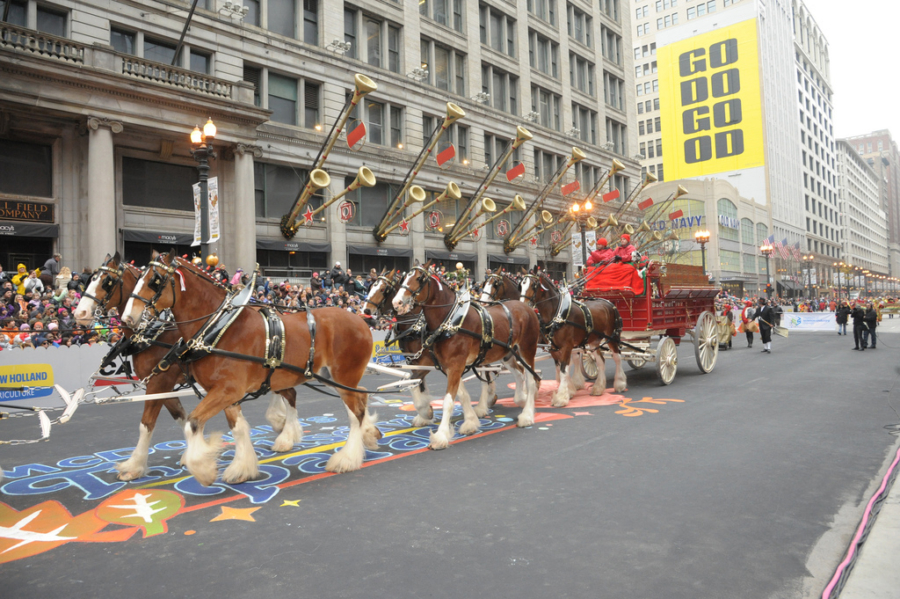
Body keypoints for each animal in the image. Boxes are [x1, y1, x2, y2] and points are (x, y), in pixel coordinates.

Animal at [74, 253, 298, 482]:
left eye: (106, 281)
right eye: (90, 279)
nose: (79, 313)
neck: (154, 334)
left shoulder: (160, 382)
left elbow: (147, 423)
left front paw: (134, 466)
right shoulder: (161, 385)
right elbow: (180, 417)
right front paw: (196, 453)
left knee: (288, 393)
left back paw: (285, 434)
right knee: (286, 391)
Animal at [121, 251, 374, 490]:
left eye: (154, 280)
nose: (127, 318)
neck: (219, 329)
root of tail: (361, 320)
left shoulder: (224, 390)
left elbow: (191, 423)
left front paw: (203, 469)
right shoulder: (225, 393)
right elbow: (238, 428)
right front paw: (241, 468)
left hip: (344, 376)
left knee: (356, 413)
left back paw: (347, 458)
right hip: (332, 377)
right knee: (360, 397)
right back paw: (368, 436)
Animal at [392, 264, 540, 448]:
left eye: (420, 279)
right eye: (403, 278)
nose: (397, 302)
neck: (450, 322)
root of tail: (526, 307)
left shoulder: (455, 365)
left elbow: (448, 401)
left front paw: (440, 436)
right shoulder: (447, 366)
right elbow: (461, 395)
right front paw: (470, 422)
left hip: (527, 349)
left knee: (531, 380)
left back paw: (527, 415)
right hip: (508, 354)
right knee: (519, 373)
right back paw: (520, 398)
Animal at [520, 274, 624, 408]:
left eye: (533, 285)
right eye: (521, 285)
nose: (522, 304)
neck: (558, 315)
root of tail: (609, 302)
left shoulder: (567, 346)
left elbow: (564, 370)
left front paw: (561, 397)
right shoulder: (554, 349)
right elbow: (561, 369)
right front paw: (568, 391)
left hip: (611, 337)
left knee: (617, 357)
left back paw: (620, 383)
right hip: (594, 341)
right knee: (601, 361)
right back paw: (598, 388)